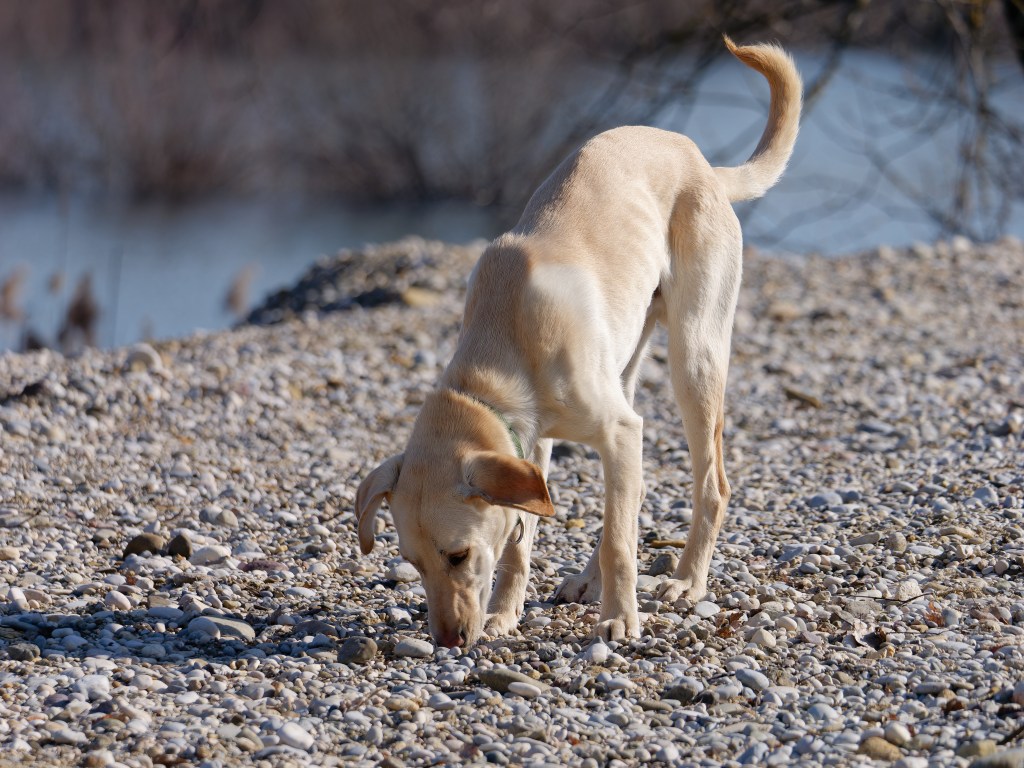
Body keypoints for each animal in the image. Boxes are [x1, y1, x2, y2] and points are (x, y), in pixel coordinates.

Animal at [356, 37, 802, 651]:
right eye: (414, 564)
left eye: (458, 555)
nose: (448, 641)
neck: (501, 347)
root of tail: (699, 160)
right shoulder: (534, 445)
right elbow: (524, 541)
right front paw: (505, 614)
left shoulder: (616, 429)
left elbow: (617, 542)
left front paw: (619, 619)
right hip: (627, 369)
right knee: (628, 501)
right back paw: (592, 581)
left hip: (694, 360)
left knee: (709, 486)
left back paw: (687, 581)